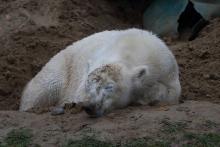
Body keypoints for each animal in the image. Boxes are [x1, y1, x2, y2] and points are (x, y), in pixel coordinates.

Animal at [19, 28, 180, 116]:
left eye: (109, 87)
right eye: (88, 85)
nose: (89, 105)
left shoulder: (165, 66)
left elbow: (171, 92)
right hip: (60, 67)